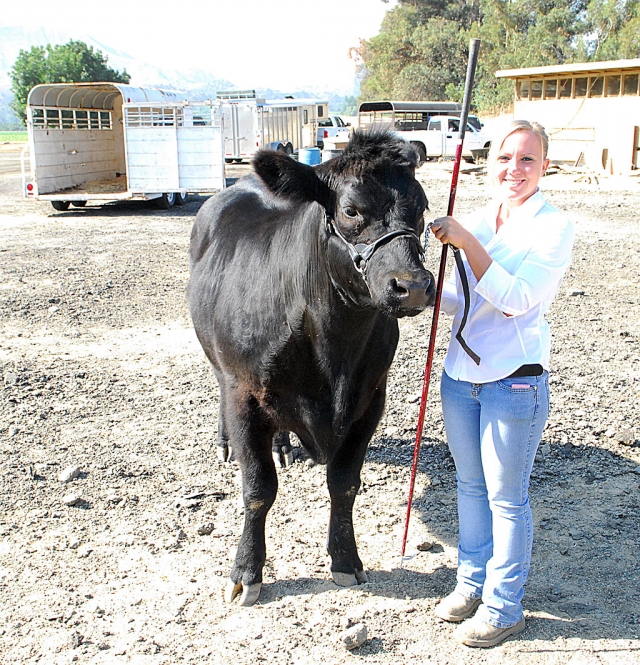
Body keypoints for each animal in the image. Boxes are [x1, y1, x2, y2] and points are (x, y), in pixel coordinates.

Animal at [186, 127, 436, 604]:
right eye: (351, 210)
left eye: (422, 208)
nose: (412, 286)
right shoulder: (244, 394)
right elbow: (258, 489)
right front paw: (246, 572)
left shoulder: (370, 399)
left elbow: (345, 483)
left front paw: (345, 560)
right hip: (218, 361)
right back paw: (226, 442)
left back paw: (283, 445)